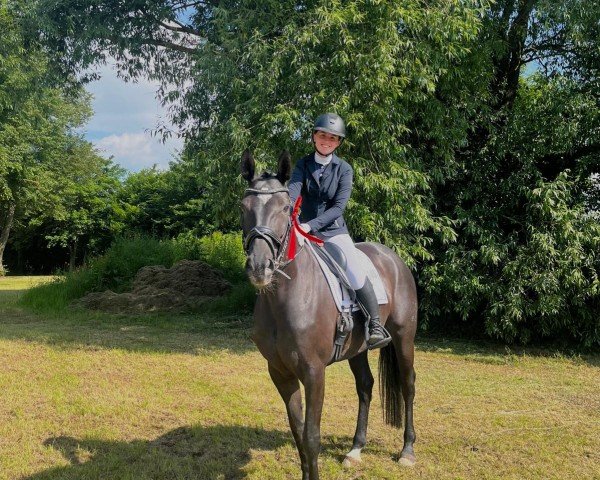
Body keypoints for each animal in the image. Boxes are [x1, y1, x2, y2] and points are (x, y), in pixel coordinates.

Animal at [239, 150, 418, 480]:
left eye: (286, 208)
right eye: (243, 207)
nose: (260, 268)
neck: (286, 298)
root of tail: (392, 257)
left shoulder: (314, 372)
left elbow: (311, 436)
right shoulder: (280, 372)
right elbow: (298, 433)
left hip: (404, 338)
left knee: (408, 384)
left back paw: (407, 451)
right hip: (357, 349)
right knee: (365, 386)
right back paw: (356, 450)